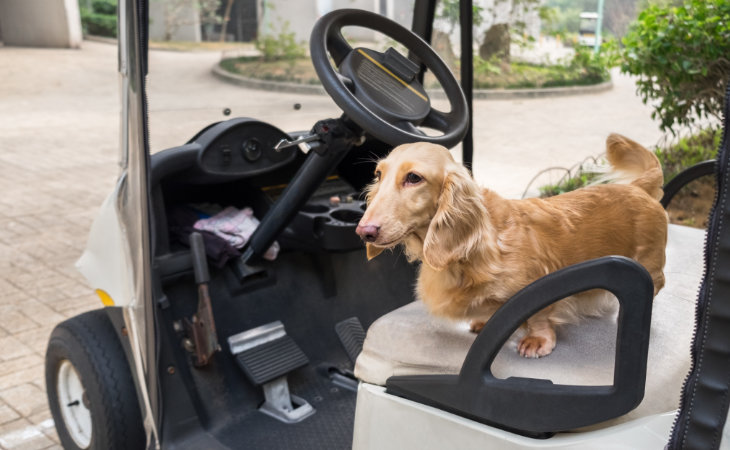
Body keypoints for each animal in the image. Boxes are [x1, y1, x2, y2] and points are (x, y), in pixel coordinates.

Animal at [356, 134, 668, 358]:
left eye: (414, 178)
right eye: (378, 174)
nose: (364, 231)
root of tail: (637, 187)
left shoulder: (538, 284)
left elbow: (538, 316)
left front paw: (537, 340)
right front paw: (485, 321)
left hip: (650, 266)